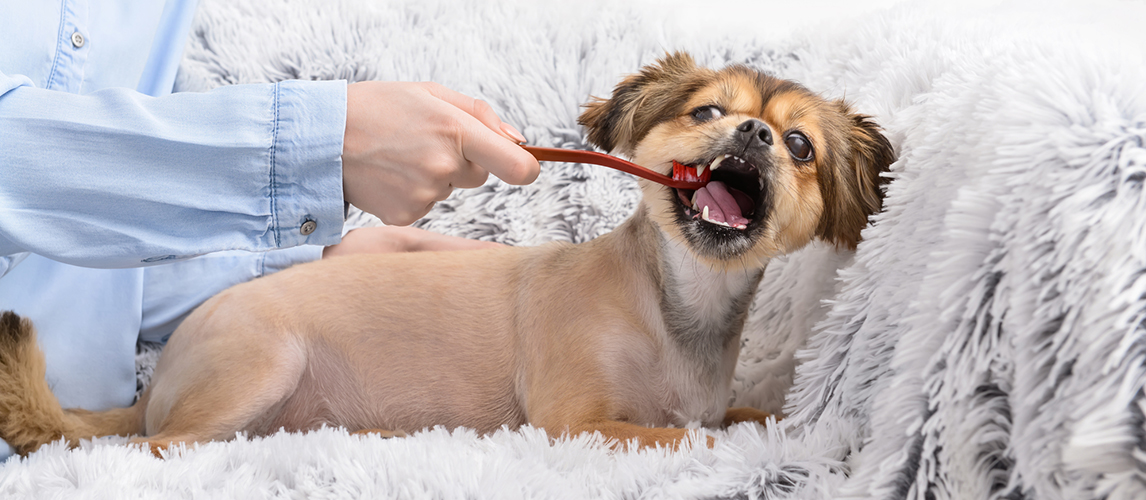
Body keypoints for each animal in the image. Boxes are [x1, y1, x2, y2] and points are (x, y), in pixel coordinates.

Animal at [0, 52, 893, 454]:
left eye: (800, 146)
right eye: (707, 110)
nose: (754, 134)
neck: (677, 307)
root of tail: (158, 383)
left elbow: (743, 416)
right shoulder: (577, 421)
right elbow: (691, 437)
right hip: (256, 369)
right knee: (149, 449)